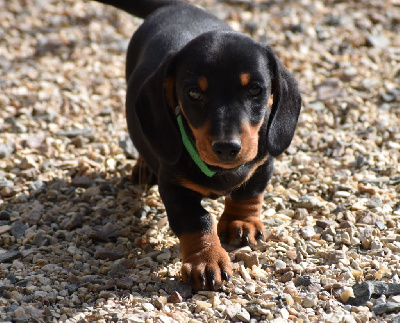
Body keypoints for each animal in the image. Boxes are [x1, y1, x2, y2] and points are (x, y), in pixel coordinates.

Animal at [93, 0, 300, 292]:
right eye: (193, 93)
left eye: (255, 90)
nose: (227, 147)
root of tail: (175, 5)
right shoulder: (173, 186)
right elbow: (197, 220)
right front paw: (207, 260)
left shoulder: (262, 163)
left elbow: (249, 193)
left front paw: (241, 222)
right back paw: (144, 166)